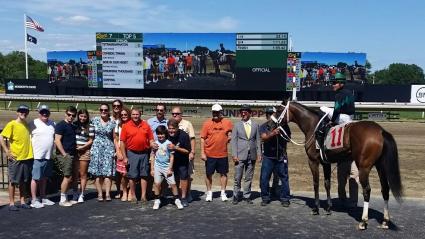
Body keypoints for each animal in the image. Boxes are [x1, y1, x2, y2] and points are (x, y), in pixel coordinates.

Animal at [276, 100, 402, 230]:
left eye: (279, 110)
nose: (273, 122)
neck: (313, 126)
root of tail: (381, 131)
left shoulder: (313, 161)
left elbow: (316, 183)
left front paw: (316, 208)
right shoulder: (325, 163)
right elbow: (327, 184)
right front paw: (328, 208)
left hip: (364, 167)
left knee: (367, 190)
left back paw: (363, 221)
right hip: (380, 166)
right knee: (385, 189)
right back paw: (385, 221)